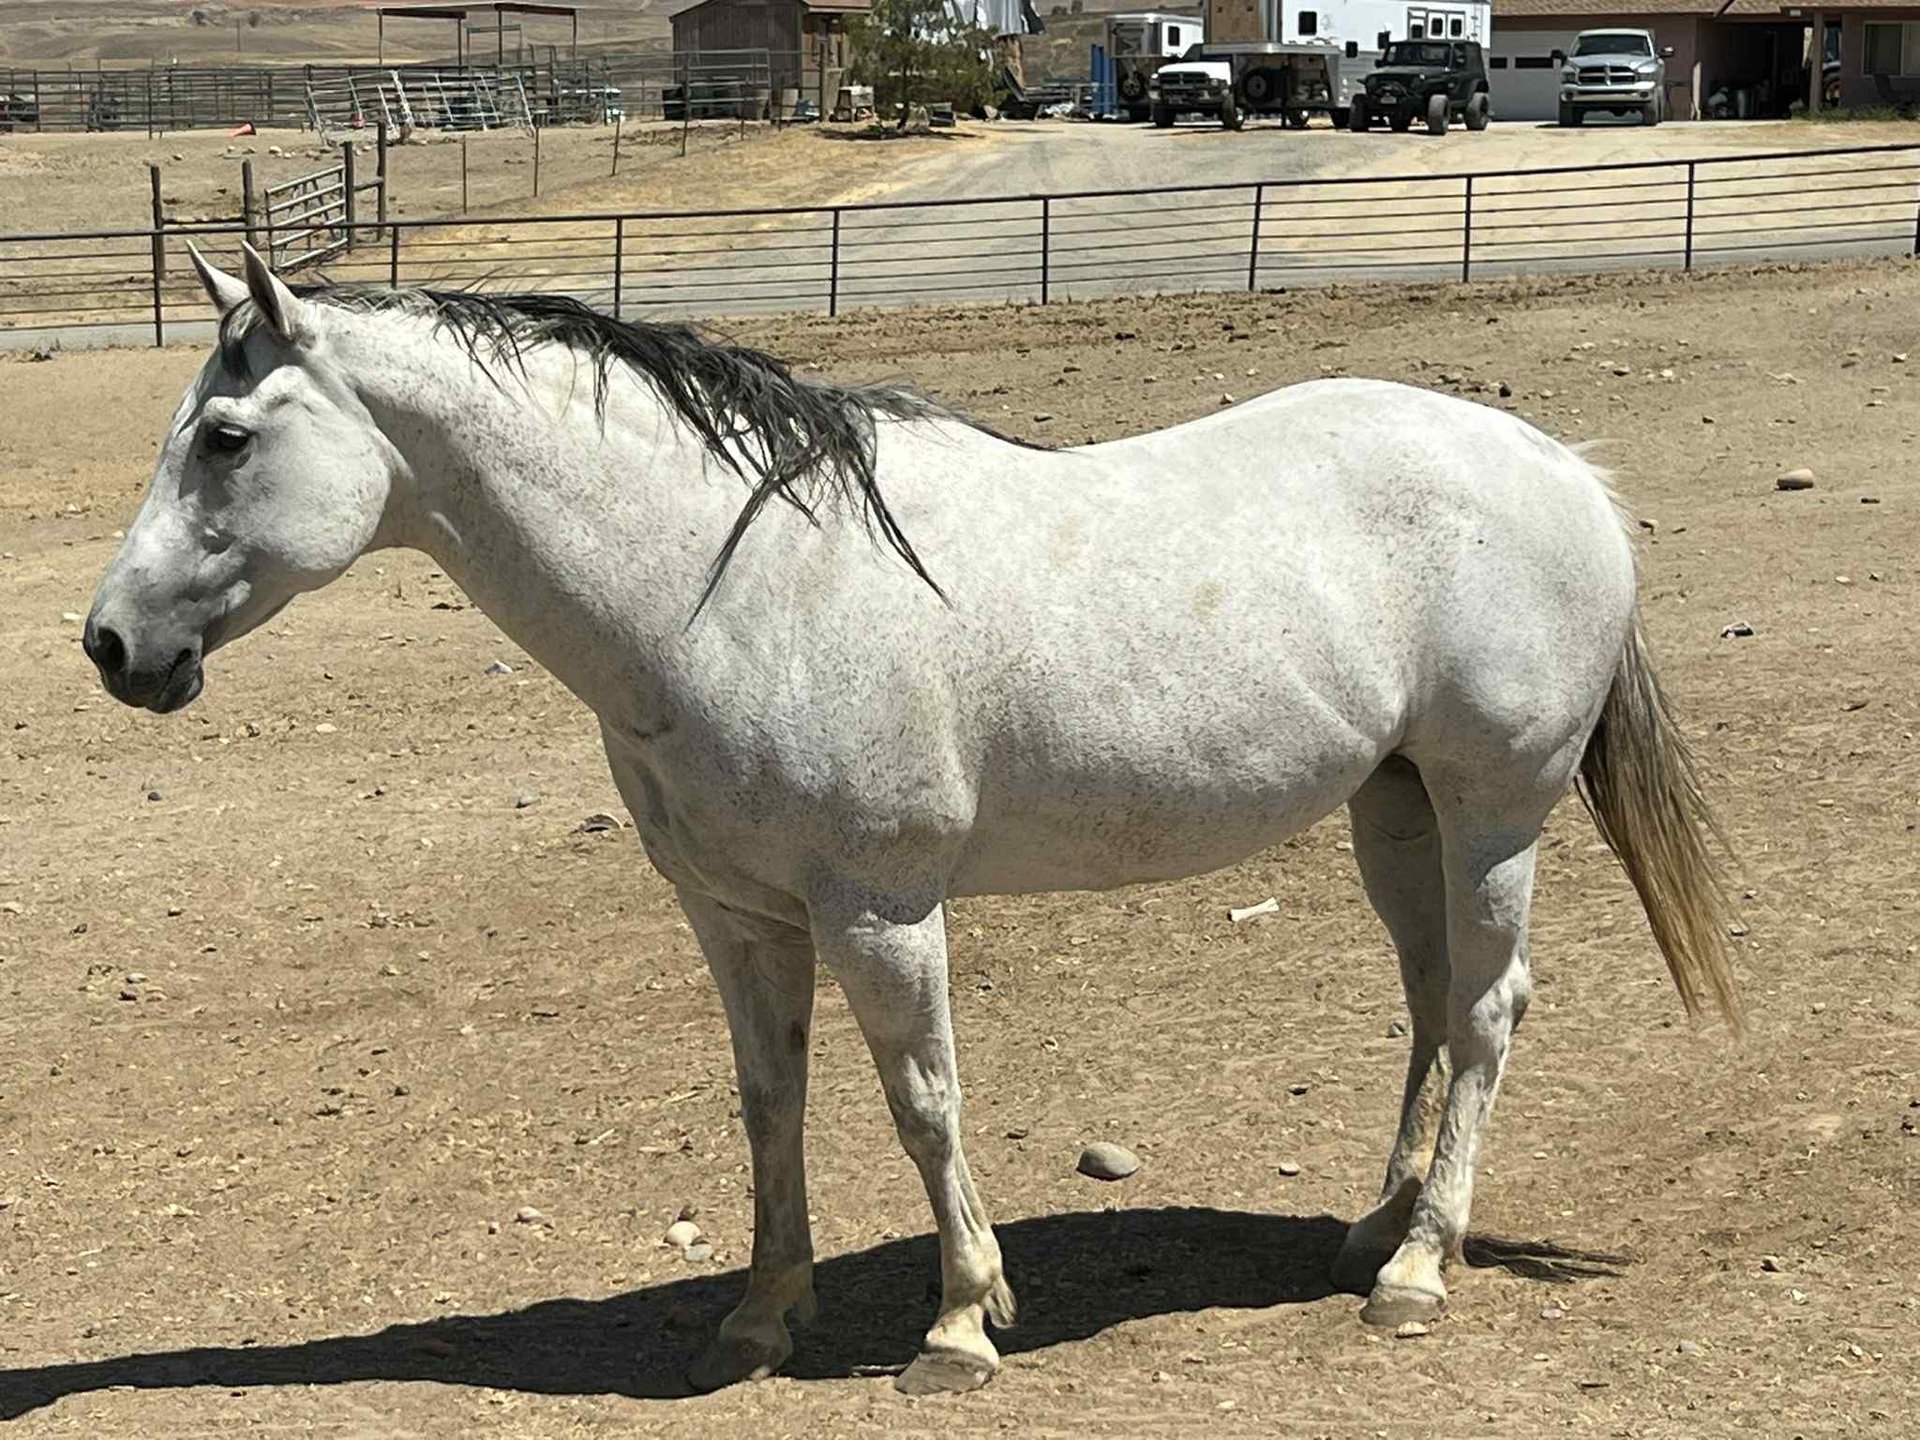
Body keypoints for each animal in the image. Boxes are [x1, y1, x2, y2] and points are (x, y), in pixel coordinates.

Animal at [83, 245, 1739, 1396]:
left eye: (225, 436)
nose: (108, 646)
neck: (729, 581)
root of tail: (1562, 469)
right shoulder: (738, 916)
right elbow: (771, 1101)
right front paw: (758, 1320)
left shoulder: (881, 910)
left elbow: (924, 1101)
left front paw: (957, 1325)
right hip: (1393, 811)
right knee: (1431, 996)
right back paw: (1370, 1232)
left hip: (1494, 811)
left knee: (1492, 1008)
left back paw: (1421, 1270)